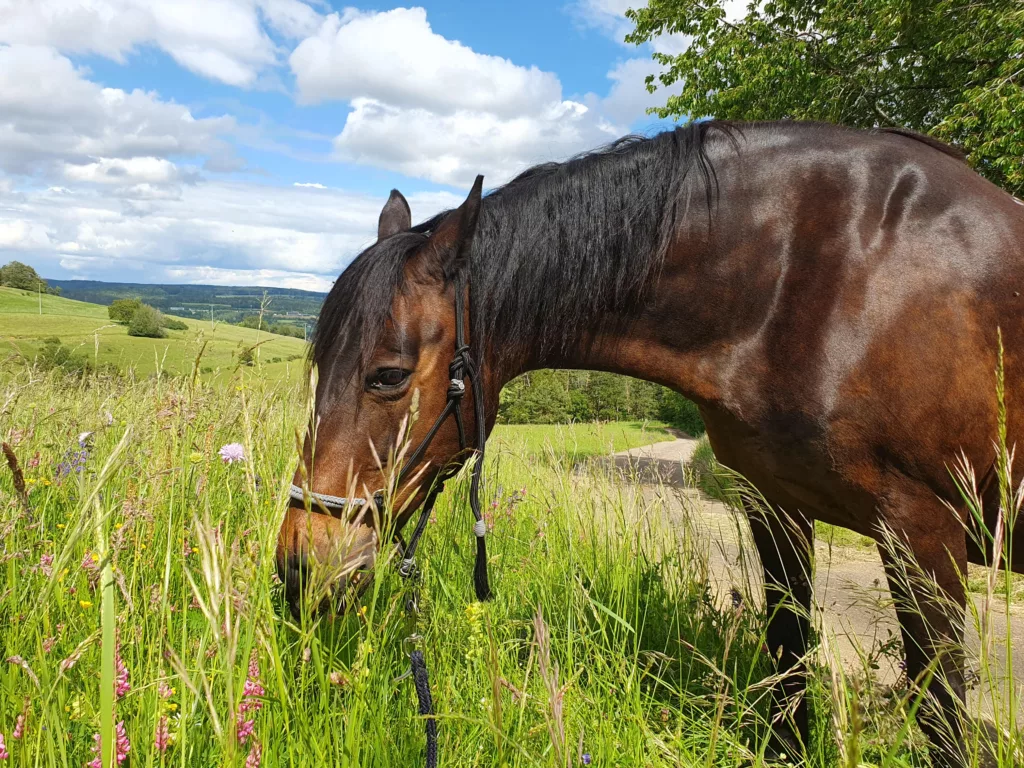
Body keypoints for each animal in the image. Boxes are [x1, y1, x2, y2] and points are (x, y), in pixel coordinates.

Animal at [276, 123, 1024, 765]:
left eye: (388, 375)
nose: (299, 567)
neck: (829, 277)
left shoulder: (924, 529)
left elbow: (940, 711)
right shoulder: (774, 506)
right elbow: (787, 662)